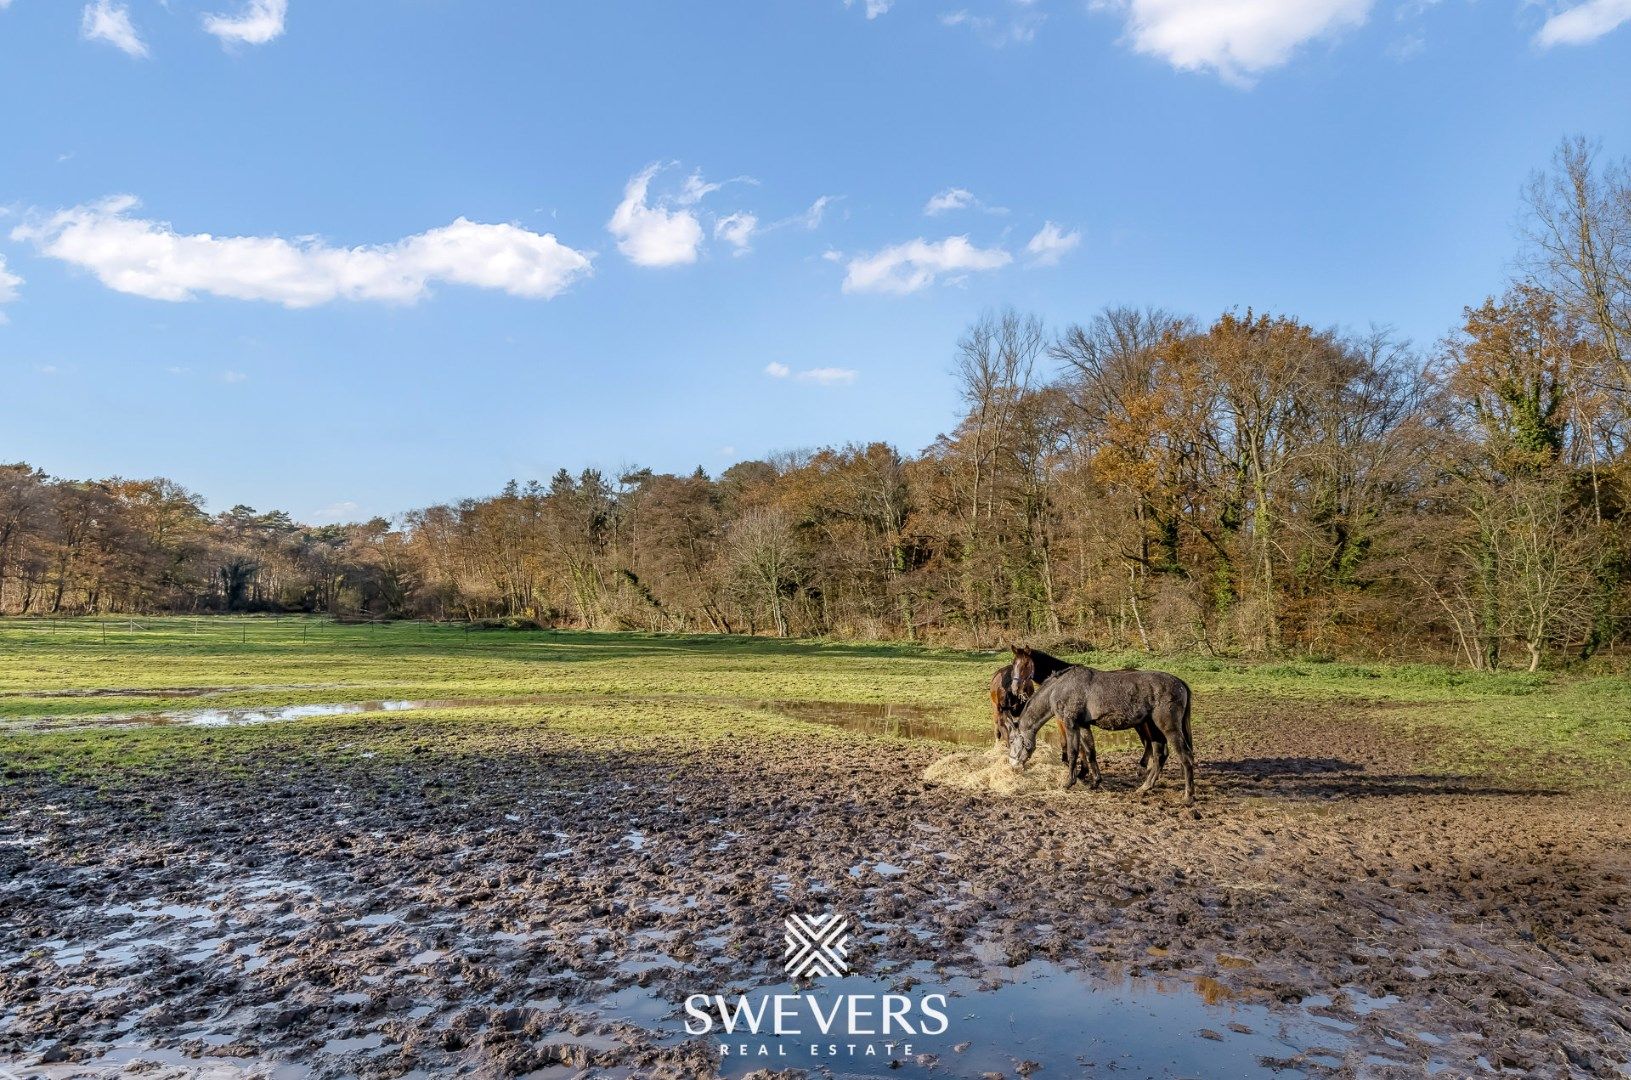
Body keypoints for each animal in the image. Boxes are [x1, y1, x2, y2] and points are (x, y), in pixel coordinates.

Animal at [1004, 665, 1200, 809]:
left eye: (1012, 741)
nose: (1012, 764)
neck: (1059, 688)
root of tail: (1180, 683)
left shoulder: (1070, 724)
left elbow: (1073, 752)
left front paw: (1068, 782)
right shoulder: (1083, 725)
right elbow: (1090, 752)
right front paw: (1095, 782)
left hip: (1168, 728)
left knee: (1185, 757)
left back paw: (1188, 796)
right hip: (1153, 728)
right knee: (1160, 755)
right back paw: (1145, 787)